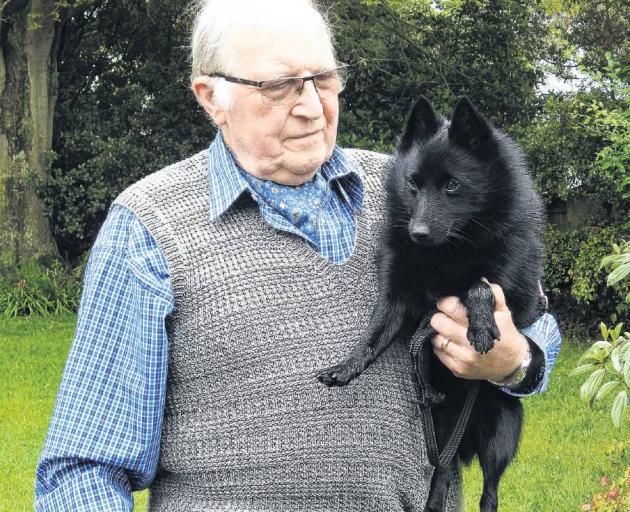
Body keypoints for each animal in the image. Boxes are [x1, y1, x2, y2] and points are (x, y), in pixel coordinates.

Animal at [318, 96, 544, 512]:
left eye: (452, 185)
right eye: (413, 185)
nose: (417, 233)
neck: (447, 251)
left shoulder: (508, 289)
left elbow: (478, 287)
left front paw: (482, 327)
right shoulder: (396, 295)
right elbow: (373, 334)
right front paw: (346, 367)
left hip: (500, 432)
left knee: (490, 493)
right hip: (438, 441)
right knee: (440, 479)